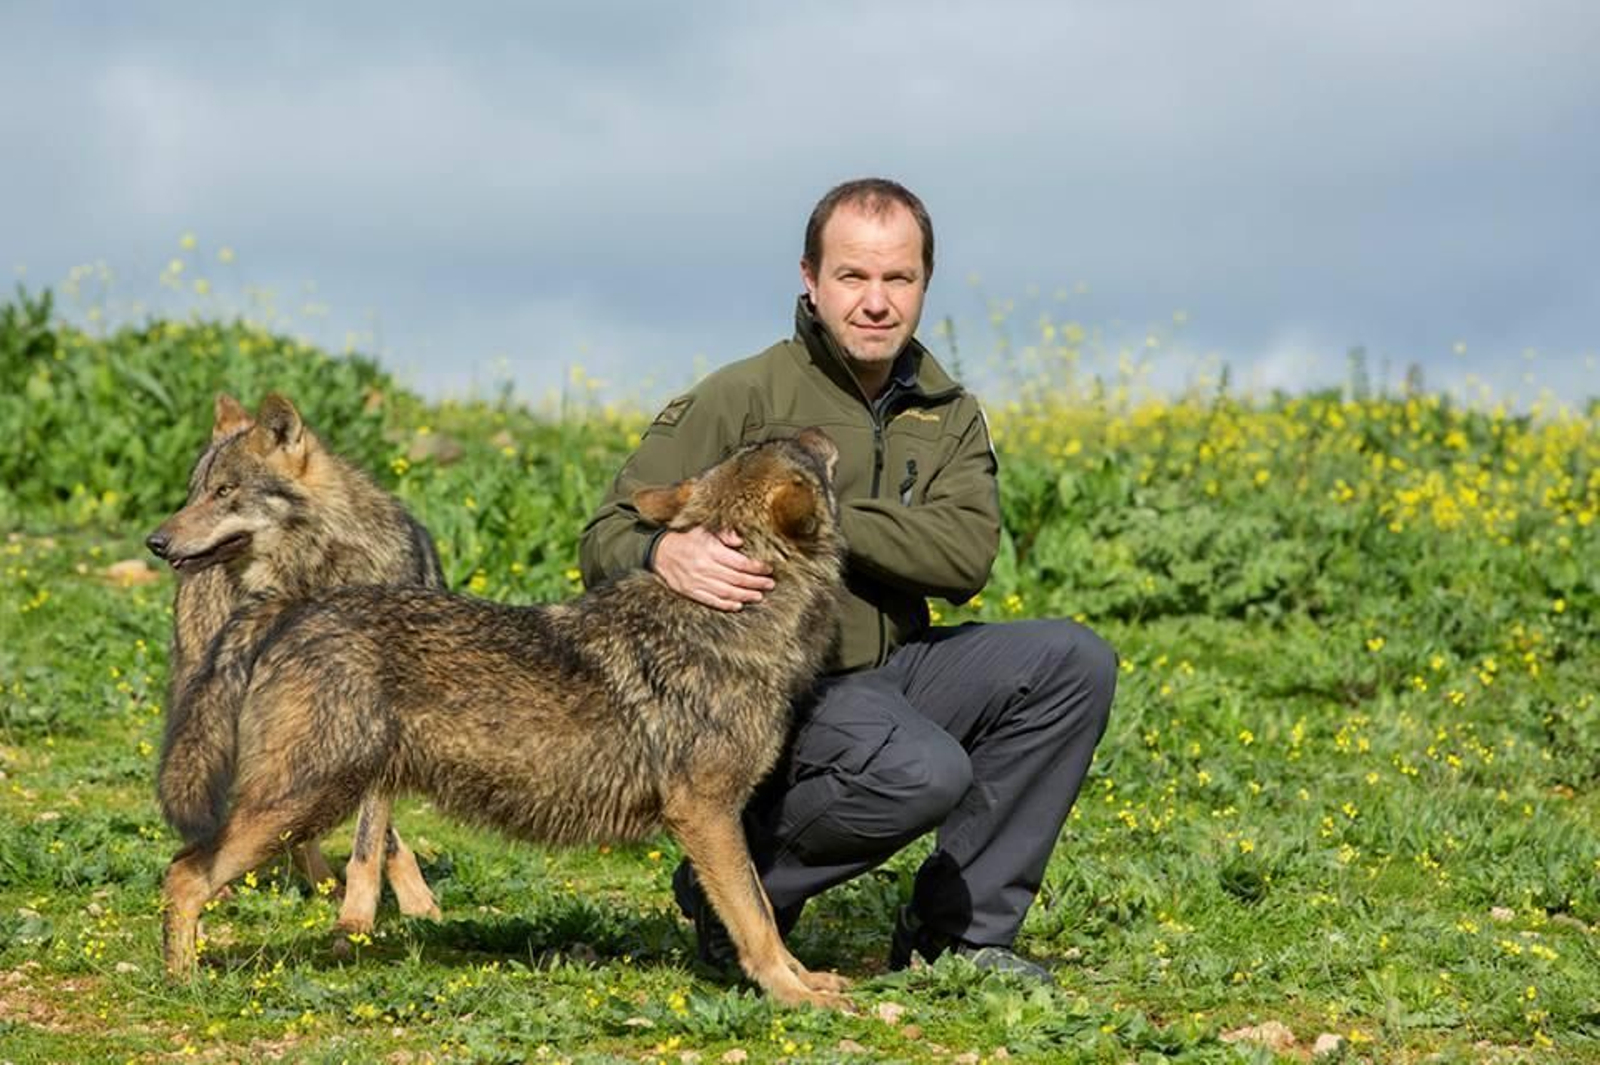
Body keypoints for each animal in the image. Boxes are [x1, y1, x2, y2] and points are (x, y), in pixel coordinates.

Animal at [147, 392, 442, 929]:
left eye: (225, 491)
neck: (313, 576)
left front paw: (379, 911)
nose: (155, 542)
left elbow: (372, 838)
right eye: (194, 493)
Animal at [158, 429, 852, 1008]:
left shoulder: (720, 821)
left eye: (770, 442)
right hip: (300, 805)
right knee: (185, 873)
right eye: (802, 450)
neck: (730, 622)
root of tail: (301, 603)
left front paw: (807, 981)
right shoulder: (706, 816)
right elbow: (756, 920)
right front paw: (794, 997)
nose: (825, 430)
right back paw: (184, 986)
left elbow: (765, 912)